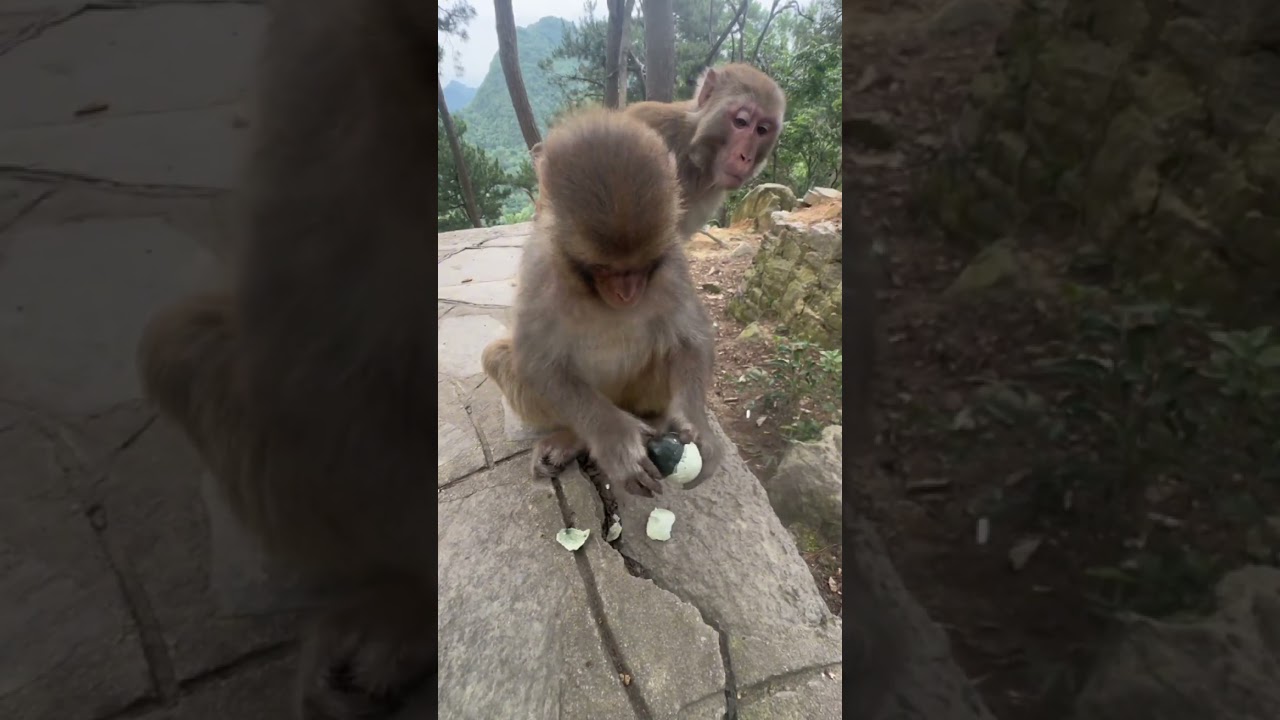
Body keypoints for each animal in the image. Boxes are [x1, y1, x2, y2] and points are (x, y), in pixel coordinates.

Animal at [480, 108, 723, 498]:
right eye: (603, 268)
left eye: (642, 265)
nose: (627, 293)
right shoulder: (539, 267)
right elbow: (536, 359)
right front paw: (615, 439)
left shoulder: (672, 260)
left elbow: (691, 337)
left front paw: (694, 424)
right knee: (499, 356)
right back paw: (574, 439)